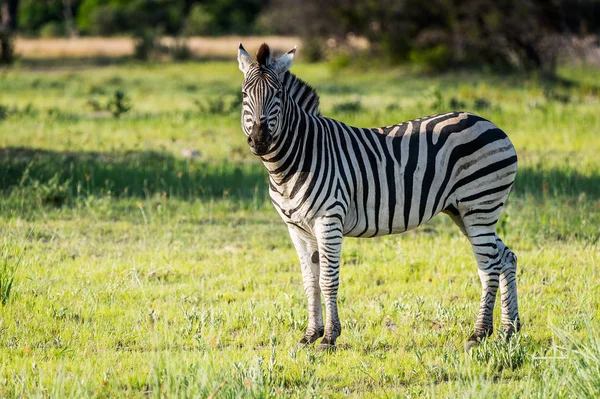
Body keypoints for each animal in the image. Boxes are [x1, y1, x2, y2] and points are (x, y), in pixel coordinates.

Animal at [237, 42, 516, 352]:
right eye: (244, 95)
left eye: (278, 94)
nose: (260, 140)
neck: (298, 156)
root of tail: (491, 124)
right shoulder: (296, 228)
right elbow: (310, 282)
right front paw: (310, 335)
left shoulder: (329, 219)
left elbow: (328, 280)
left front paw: (329, 338)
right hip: (464, 211)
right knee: (506, 256)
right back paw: (508, 330)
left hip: (479, 205)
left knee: (489, 265)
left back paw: (479, 334)